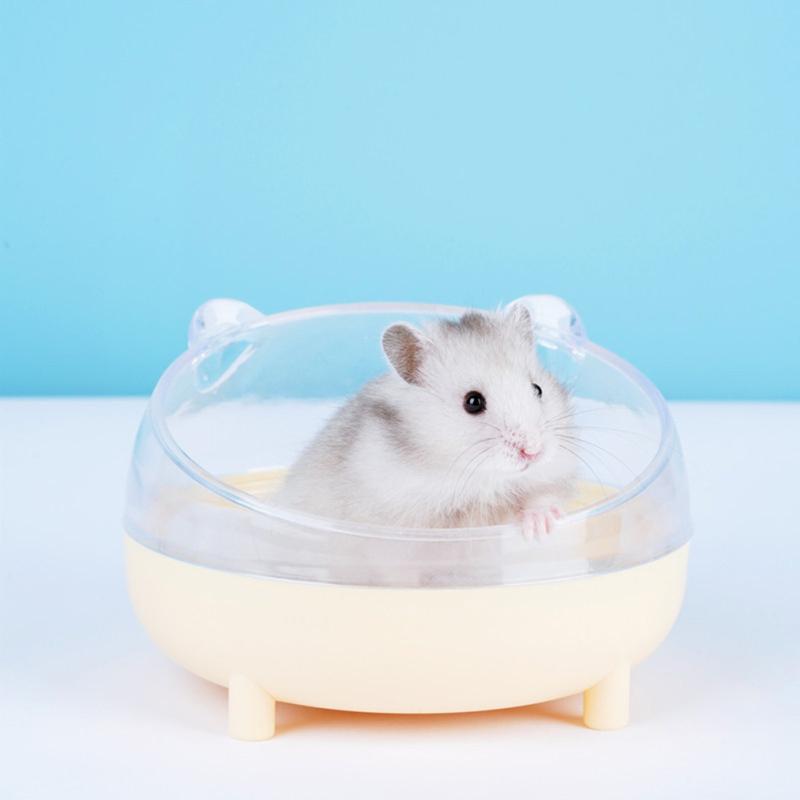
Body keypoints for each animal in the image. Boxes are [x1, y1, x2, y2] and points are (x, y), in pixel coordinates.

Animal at [275, 304, 577, 539]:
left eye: (537, 389)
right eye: (473, 402)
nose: (534, 451)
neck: (482, 477)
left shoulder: (548, 477)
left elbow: (542, 495)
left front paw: (542, 527)